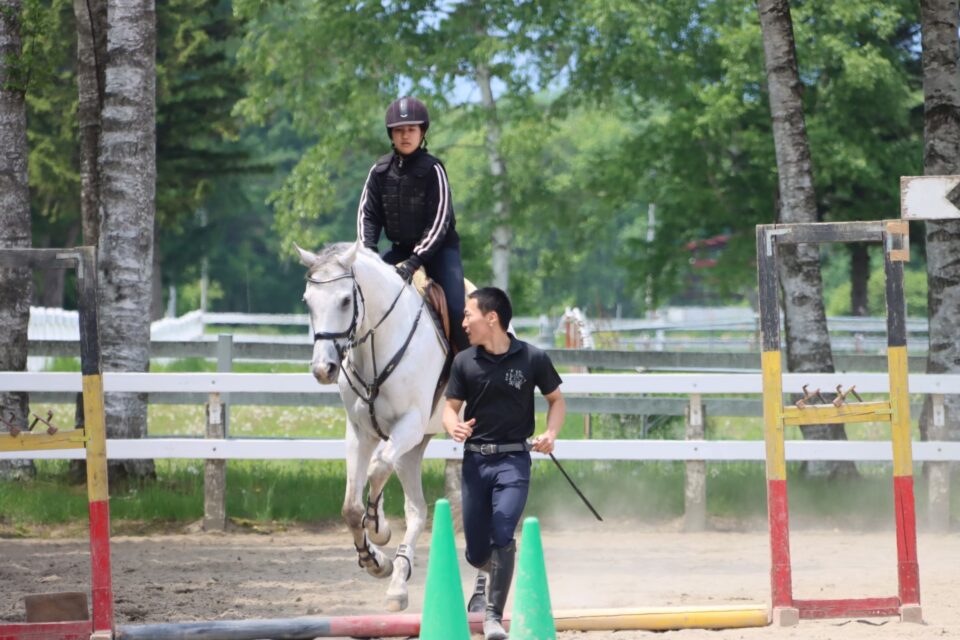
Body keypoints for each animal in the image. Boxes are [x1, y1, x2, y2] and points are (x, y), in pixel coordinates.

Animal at [295, 240, 449, 611]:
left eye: (345, 300)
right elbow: (352, 507)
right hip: (414, 449)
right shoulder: (360, 432)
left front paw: (378, 528)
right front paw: (375, 560)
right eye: (307, 301)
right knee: (417, 510)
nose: (323, 369)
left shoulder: (408, 424)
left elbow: (378, 468)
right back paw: (397, 585)